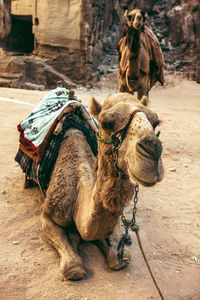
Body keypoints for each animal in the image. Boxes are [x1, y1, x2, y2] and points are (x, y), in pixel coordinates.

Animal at [40, 92, 164, 280]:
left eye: (155, 121)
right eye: (106, 123)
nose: (153, 150)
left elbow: (120, 256)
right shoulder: (47, 215)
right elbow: (73, 268)